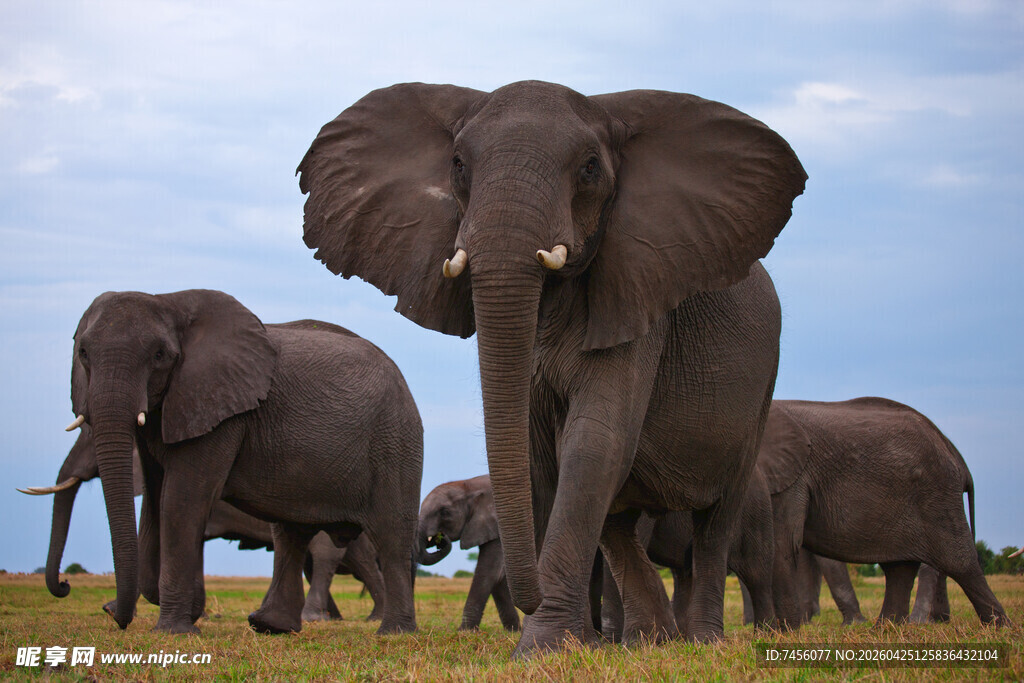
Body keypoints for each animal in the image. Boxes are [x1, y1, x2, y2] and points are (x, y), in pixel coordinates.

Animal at [64, 289, 422, 635]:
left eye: (159, 355)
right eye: (83, 353)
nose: (65, 585)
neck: (170, 302)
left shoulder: (221, 413)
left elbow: (181, 501)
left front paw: (174, 632)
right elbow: (155, 499)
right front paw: (180, 610)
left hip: (395, 440)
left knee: (388, 536)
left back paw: (392, 632)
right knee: (291, 533)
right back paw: (270, 626)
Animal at [416, 475, 520, 631]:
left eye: (444, 512)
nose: (441, 538)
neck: (469, 486)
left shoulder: (497, 527)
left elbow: (490, 571)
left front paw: (465, 631)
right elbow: (499, 577)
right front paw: (514, 631)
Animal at [761, 397, 1010, 627]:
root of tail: (954, 454)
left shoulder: (792, 476)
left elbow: (782, 544)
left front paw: (784, 632)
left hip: (937, 494)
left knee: (960, 562)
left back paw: (1000, 629)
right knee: (900, 569)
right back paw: (884, 629)